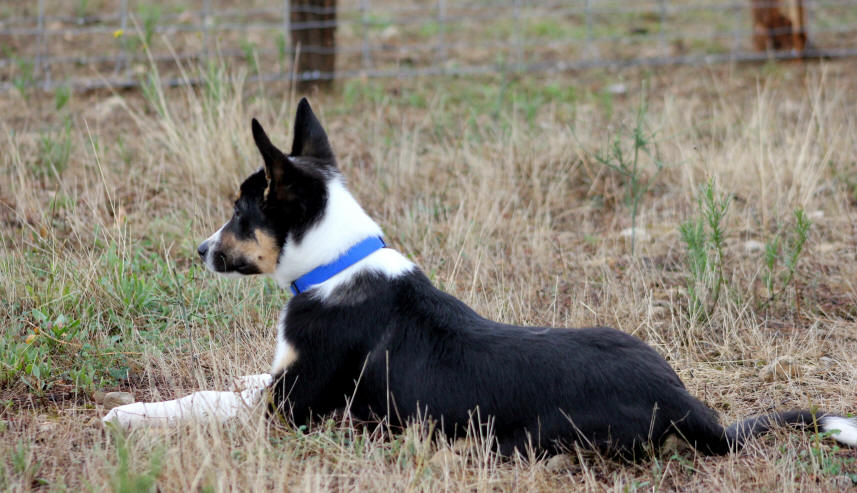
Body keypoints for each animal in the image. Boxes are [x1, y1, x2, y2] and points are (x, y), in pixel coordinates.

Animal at [107, 98, 856, 460]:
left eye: (239, 213)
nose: (199, 249)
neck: (336, 261)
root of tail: (688, 403)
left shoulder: (291, 409)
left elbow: (207, 400)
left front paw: (131, 413)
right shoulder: (276, 383)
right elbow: (235, 379)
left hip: (531, 435)